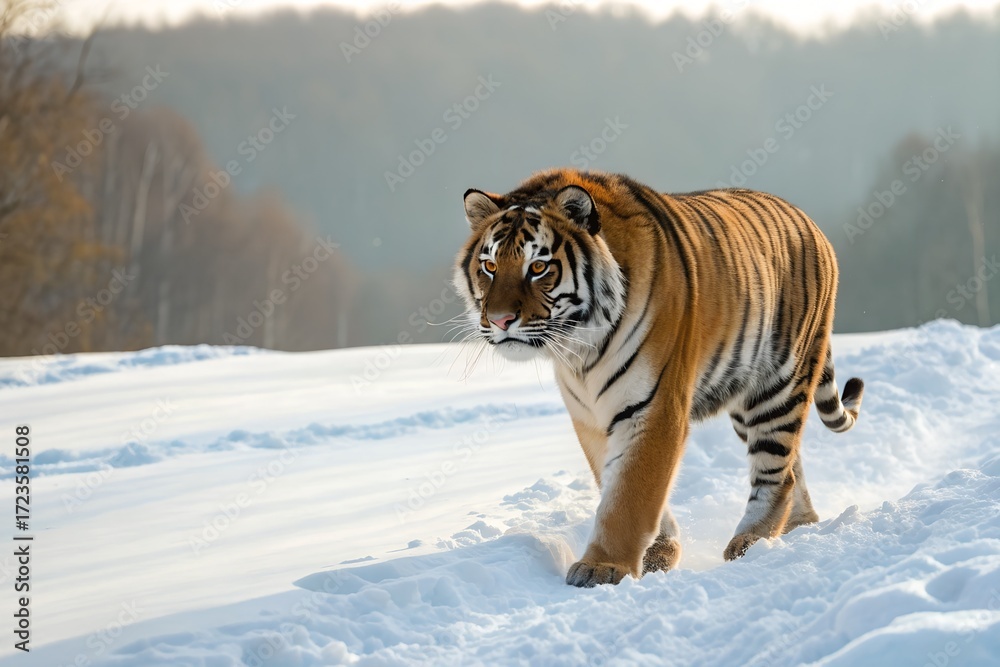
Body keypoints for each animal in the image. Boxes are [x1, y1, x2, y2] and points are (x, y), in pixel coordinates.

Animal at [453, 168, 864, 588]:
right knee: (792, 464)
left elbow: (630, 494)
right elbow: (618, 483)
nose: (500, 320)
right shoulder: (592, 417)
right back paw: (799, 527)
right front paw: (658, 552)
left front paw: (602, 567)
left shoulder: (653, 408)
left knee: (777, 472)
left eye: (538, 267)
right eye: (489, 266)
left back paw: (750, 543)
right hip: (742, 398)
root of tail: (809, 221)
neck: (580, 348)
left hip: (778, 386)